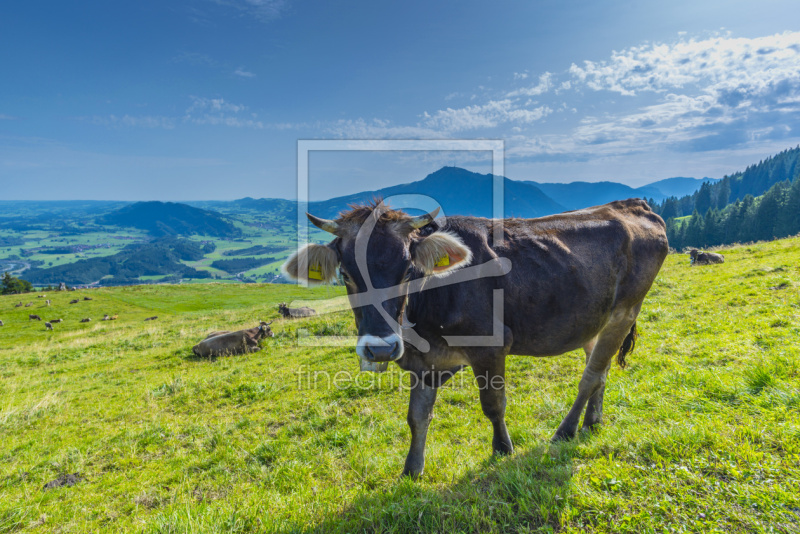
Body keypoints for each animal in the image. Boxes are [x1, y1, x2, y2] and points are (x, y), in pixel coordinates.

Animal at [282, 199, 668, 480]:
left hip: (625, 311)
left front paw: (502, 450)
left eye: (407, 271)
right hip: (594, 319)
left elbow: (493, 405)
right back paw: (592, 421)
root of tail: (631, 204)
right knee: (599, 370)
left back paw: (566, 430)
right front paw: (412, 470)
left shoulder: (490, 347)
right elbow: (417, 416)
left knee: (590, 376)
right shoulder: (426, 363)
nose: (380, 348)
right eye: (346, 275)